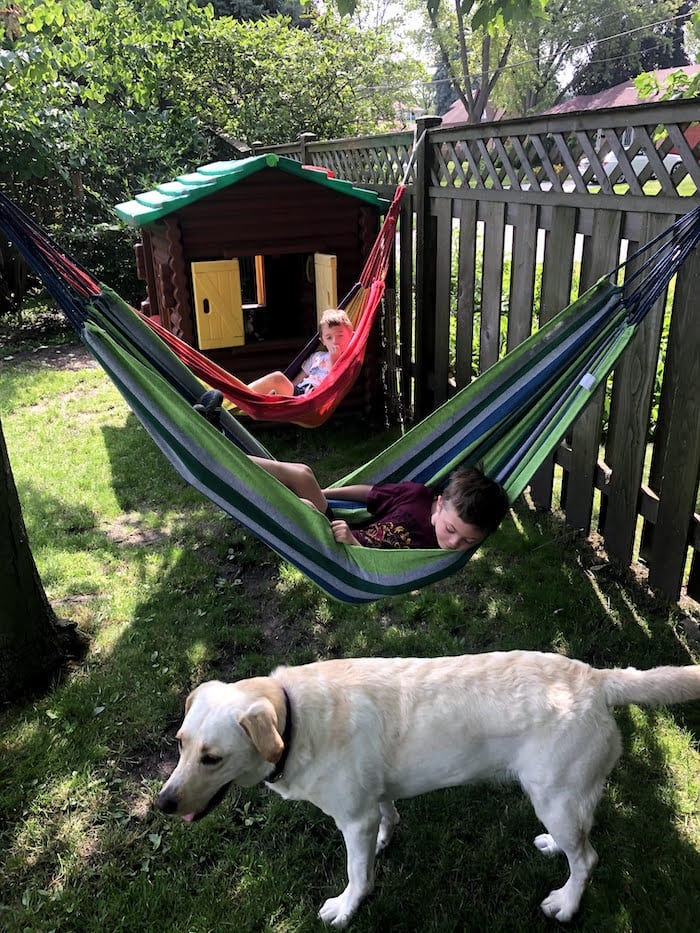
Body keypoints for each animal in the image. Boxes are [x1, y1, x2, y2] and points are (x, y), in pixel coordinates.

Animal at [157, 652, 700, 928]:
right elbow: (387, 815)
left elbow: (355, 873)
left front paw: (347, 907)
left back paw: (565, 904)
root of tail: (595, 678)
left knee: (586, 859)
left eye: (212, 757)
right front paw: (385, 842)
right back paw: (551, 848)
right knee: (578, 841)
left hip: (556, 797)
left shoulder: (351, 818)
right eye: (180, 743)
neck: (294, 718)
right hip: (563, 800)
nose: (163, 803)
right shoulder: (373, 797)